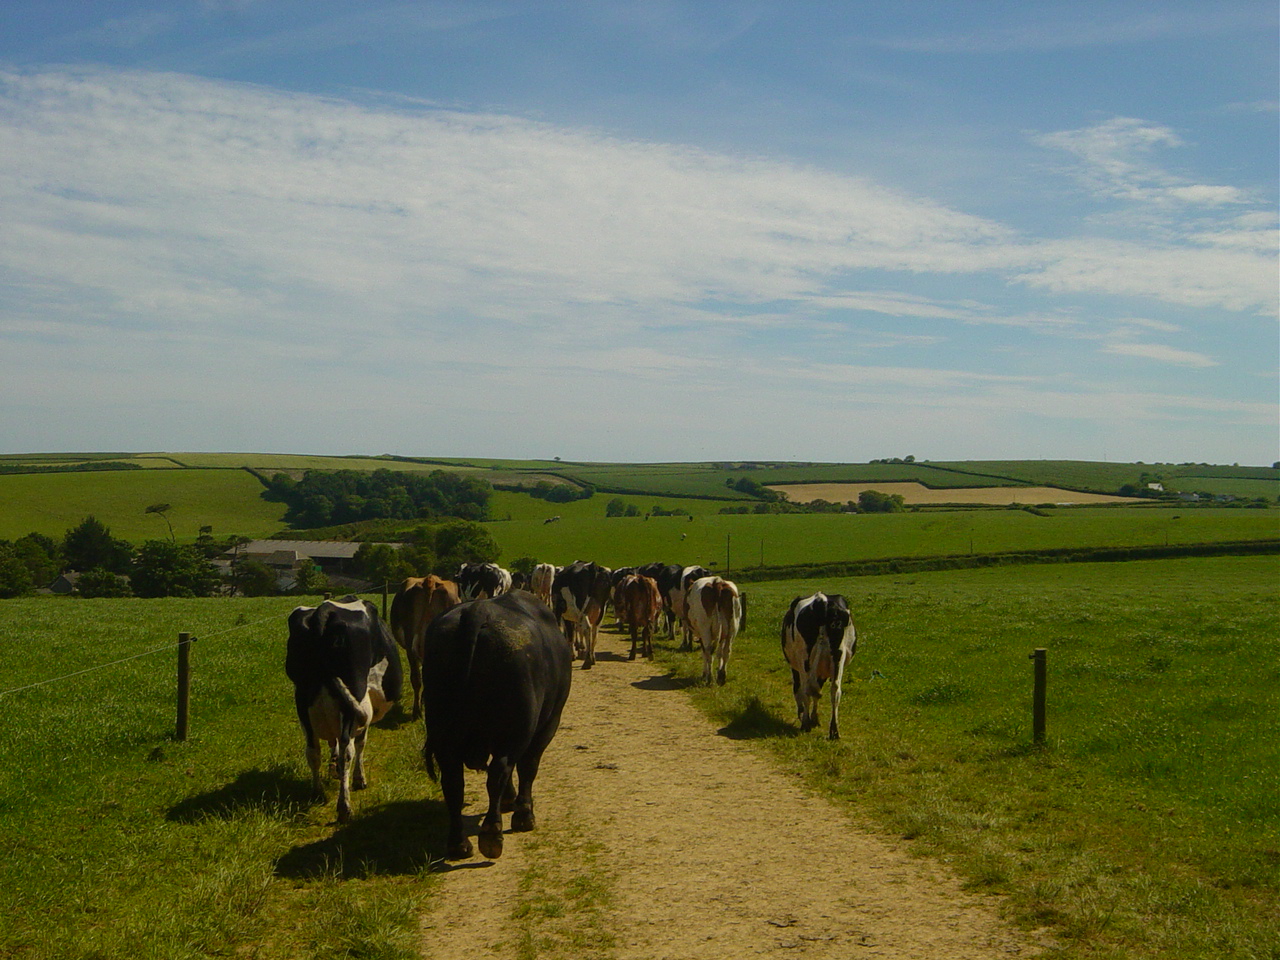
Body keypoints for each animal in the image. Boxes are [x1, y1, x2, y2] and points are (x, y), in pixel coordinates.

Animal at [285, 597, 402, 823]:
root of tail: (323, 611)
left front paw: (334, 770)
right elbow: (360, 743)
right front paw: (359, 779)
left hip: (302, 698)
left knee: (312, 750)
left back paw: (318, 793)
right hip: (353, 698)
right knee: (347, 750)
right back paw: (344, 806)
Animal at [420, 591, 572, 860]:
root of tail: (478, 610)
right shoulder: (547, 725)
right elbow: (528, 767)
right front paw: (523, 813)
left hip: (444, 736)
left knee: (453, 783)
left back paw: (459, 843)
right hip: (515, 732)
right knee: (499, 771)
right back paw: (492, 835)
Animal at [781, 592, 857, 740]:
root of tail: (823, 602)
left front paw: (809, 717)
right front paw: (815, 718)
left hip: (804, 658)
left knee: (806, 689)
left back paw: (805, 723)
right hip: (839, 655)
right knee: (835, 690)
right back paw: (834, 731)